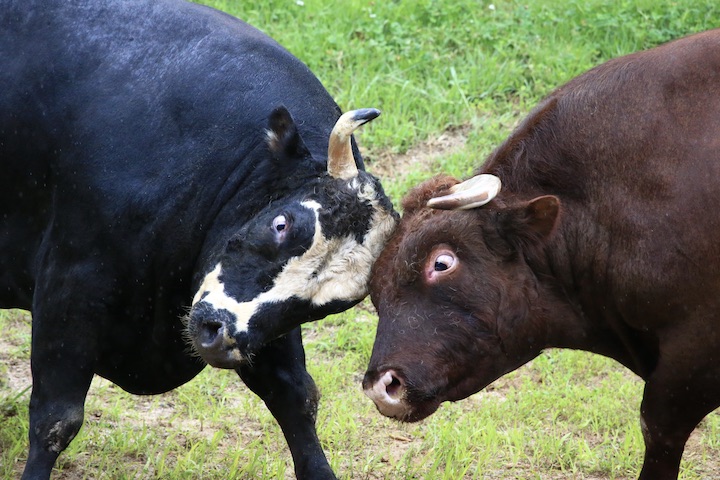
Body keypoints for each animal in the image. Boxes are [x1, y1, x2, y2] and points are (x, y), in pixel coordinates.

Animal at [0, 0, 400, 480]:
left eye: (329, 305)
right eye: (282, 224)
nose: (218, 333)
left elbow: (296, 397)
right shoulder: (71, 283)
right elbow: (56, 419)